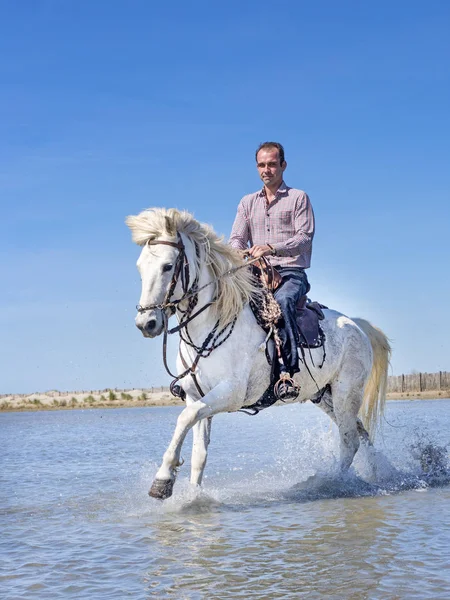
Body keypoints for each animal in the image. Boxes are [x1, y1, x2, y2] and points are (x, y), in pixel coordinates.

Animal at [125, 209, 390, 500]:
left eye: (168, 266)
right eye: (139, 268)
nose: (146, 323)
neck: (211, 323)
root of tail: (356, 324)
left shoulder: (230, 393)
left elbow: (183, 419)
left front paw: (162, 481)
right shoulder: (197, 397)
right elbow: (198, 453)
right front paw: (192, 496)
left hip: (346, 393)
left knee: (349, 440)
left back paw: (334, 483)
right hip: (325, 396)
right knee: (360, 434)